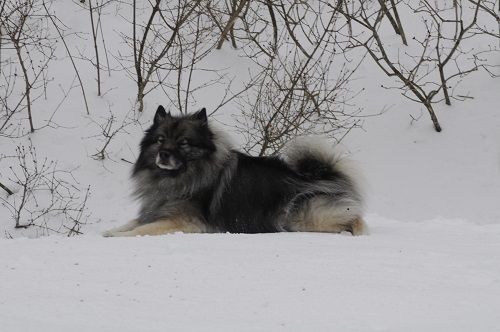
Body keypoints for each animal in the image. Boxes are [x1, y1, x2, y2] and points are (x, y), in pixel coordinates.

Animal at [102, 105, 368, 236]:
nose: (164, 154)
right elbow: (133, 222)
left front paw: (117, 237)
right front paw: (112, 230)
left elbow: (143, 230)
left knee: (353, 218)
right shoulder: (155, 211)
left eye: (183, 143)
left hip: (302, 215)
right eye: (159, 140)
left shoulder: (182, 220)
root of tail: (327, 177)